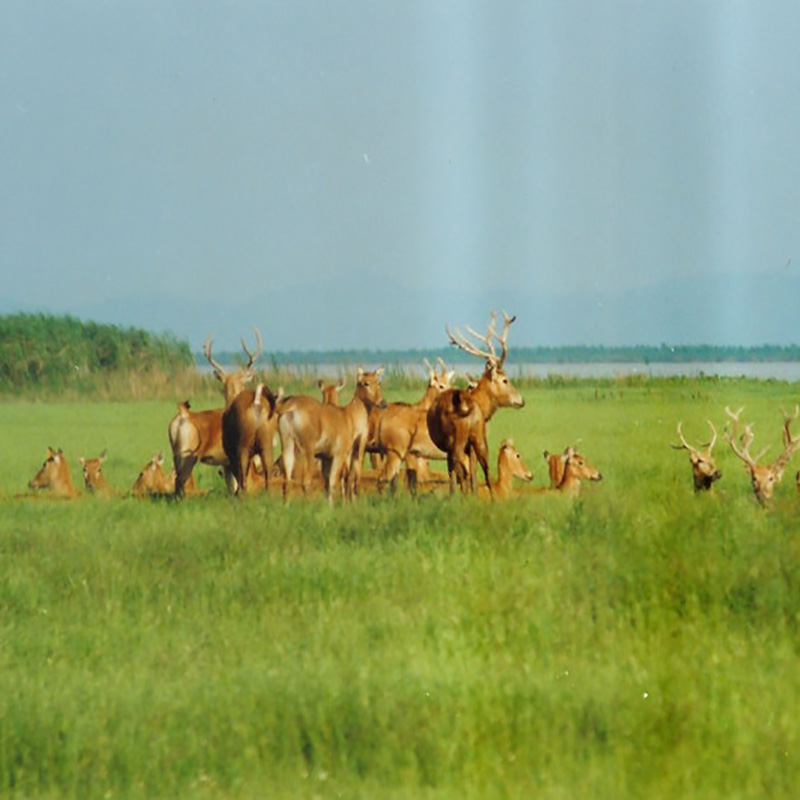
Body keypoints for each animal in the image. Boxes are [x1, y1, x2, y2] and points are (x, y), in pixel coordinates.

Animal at [167, 328, 260, 496]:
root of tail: (183, 415)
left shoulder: (226, 462)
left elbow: (231, 487)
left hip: (175, 453)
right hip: (188, 455)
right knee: (180, 481)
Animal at [276, 368, 386, 504]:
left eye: (378, 382)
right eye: (366, 383)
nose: (383, 402)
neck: (348, 416)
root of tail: (291, 407)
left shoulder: (327, 457)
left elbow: (328, 484)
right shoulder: (339, 455)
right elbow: (334, 482)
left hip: (287, 447)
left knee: (286, 482)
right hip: (307, 452)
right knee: (305, 482)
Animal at [424, 310, 524, 496]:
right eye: (505, 380)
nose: (521, 400)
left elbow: (461, 473)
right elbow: (473, 473)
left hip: (456, 441)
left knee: (458, 469)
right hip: (473, 438)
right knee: (483, 470)